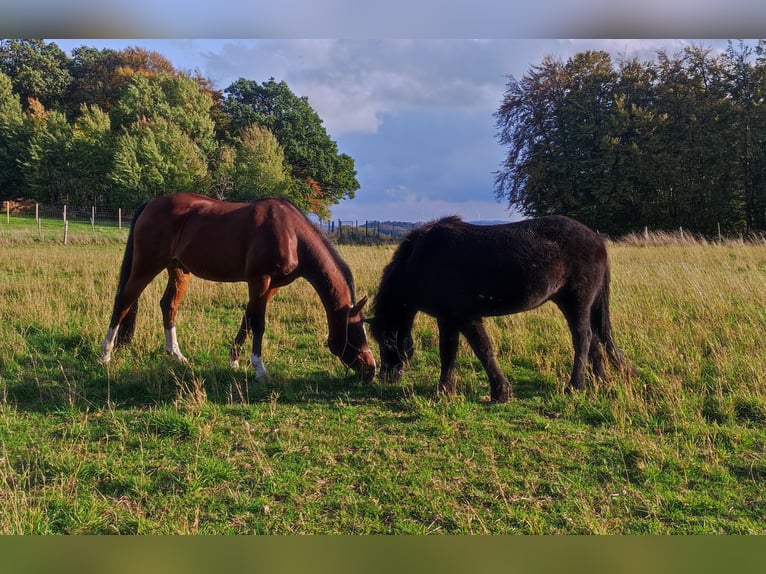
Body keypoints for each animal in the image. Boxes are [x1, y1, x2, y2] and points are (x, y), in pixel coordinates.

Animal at [100, 195, 376, 382]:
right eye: (355, 332)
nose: (371, 369)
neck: (291, 234)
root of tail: (150, 204)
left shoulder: (271, 286)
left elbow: (248, 318)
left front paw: (234, 360)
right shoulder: (259, 280)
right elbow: (258, 323)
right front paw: (260, 370)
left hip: (178, 269)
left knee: (168, 305)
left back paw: (176, 354)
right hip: (147, 265)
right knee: (124, 301)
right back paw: (106, 354)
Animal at [368, 217, 632, 404]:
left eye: (387, 341)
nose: (387, 376)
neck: (422, 260)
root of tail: (597, 239)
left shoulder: (466, 317)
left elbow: (483, 350)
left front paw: (500, 392)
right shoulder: (448, 318)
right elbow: (448, 352)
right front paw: (445, 390)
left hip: (576, 302)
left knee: (583, 338)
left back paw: (575, 385)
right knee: (595, 338)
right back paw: (600, 380)